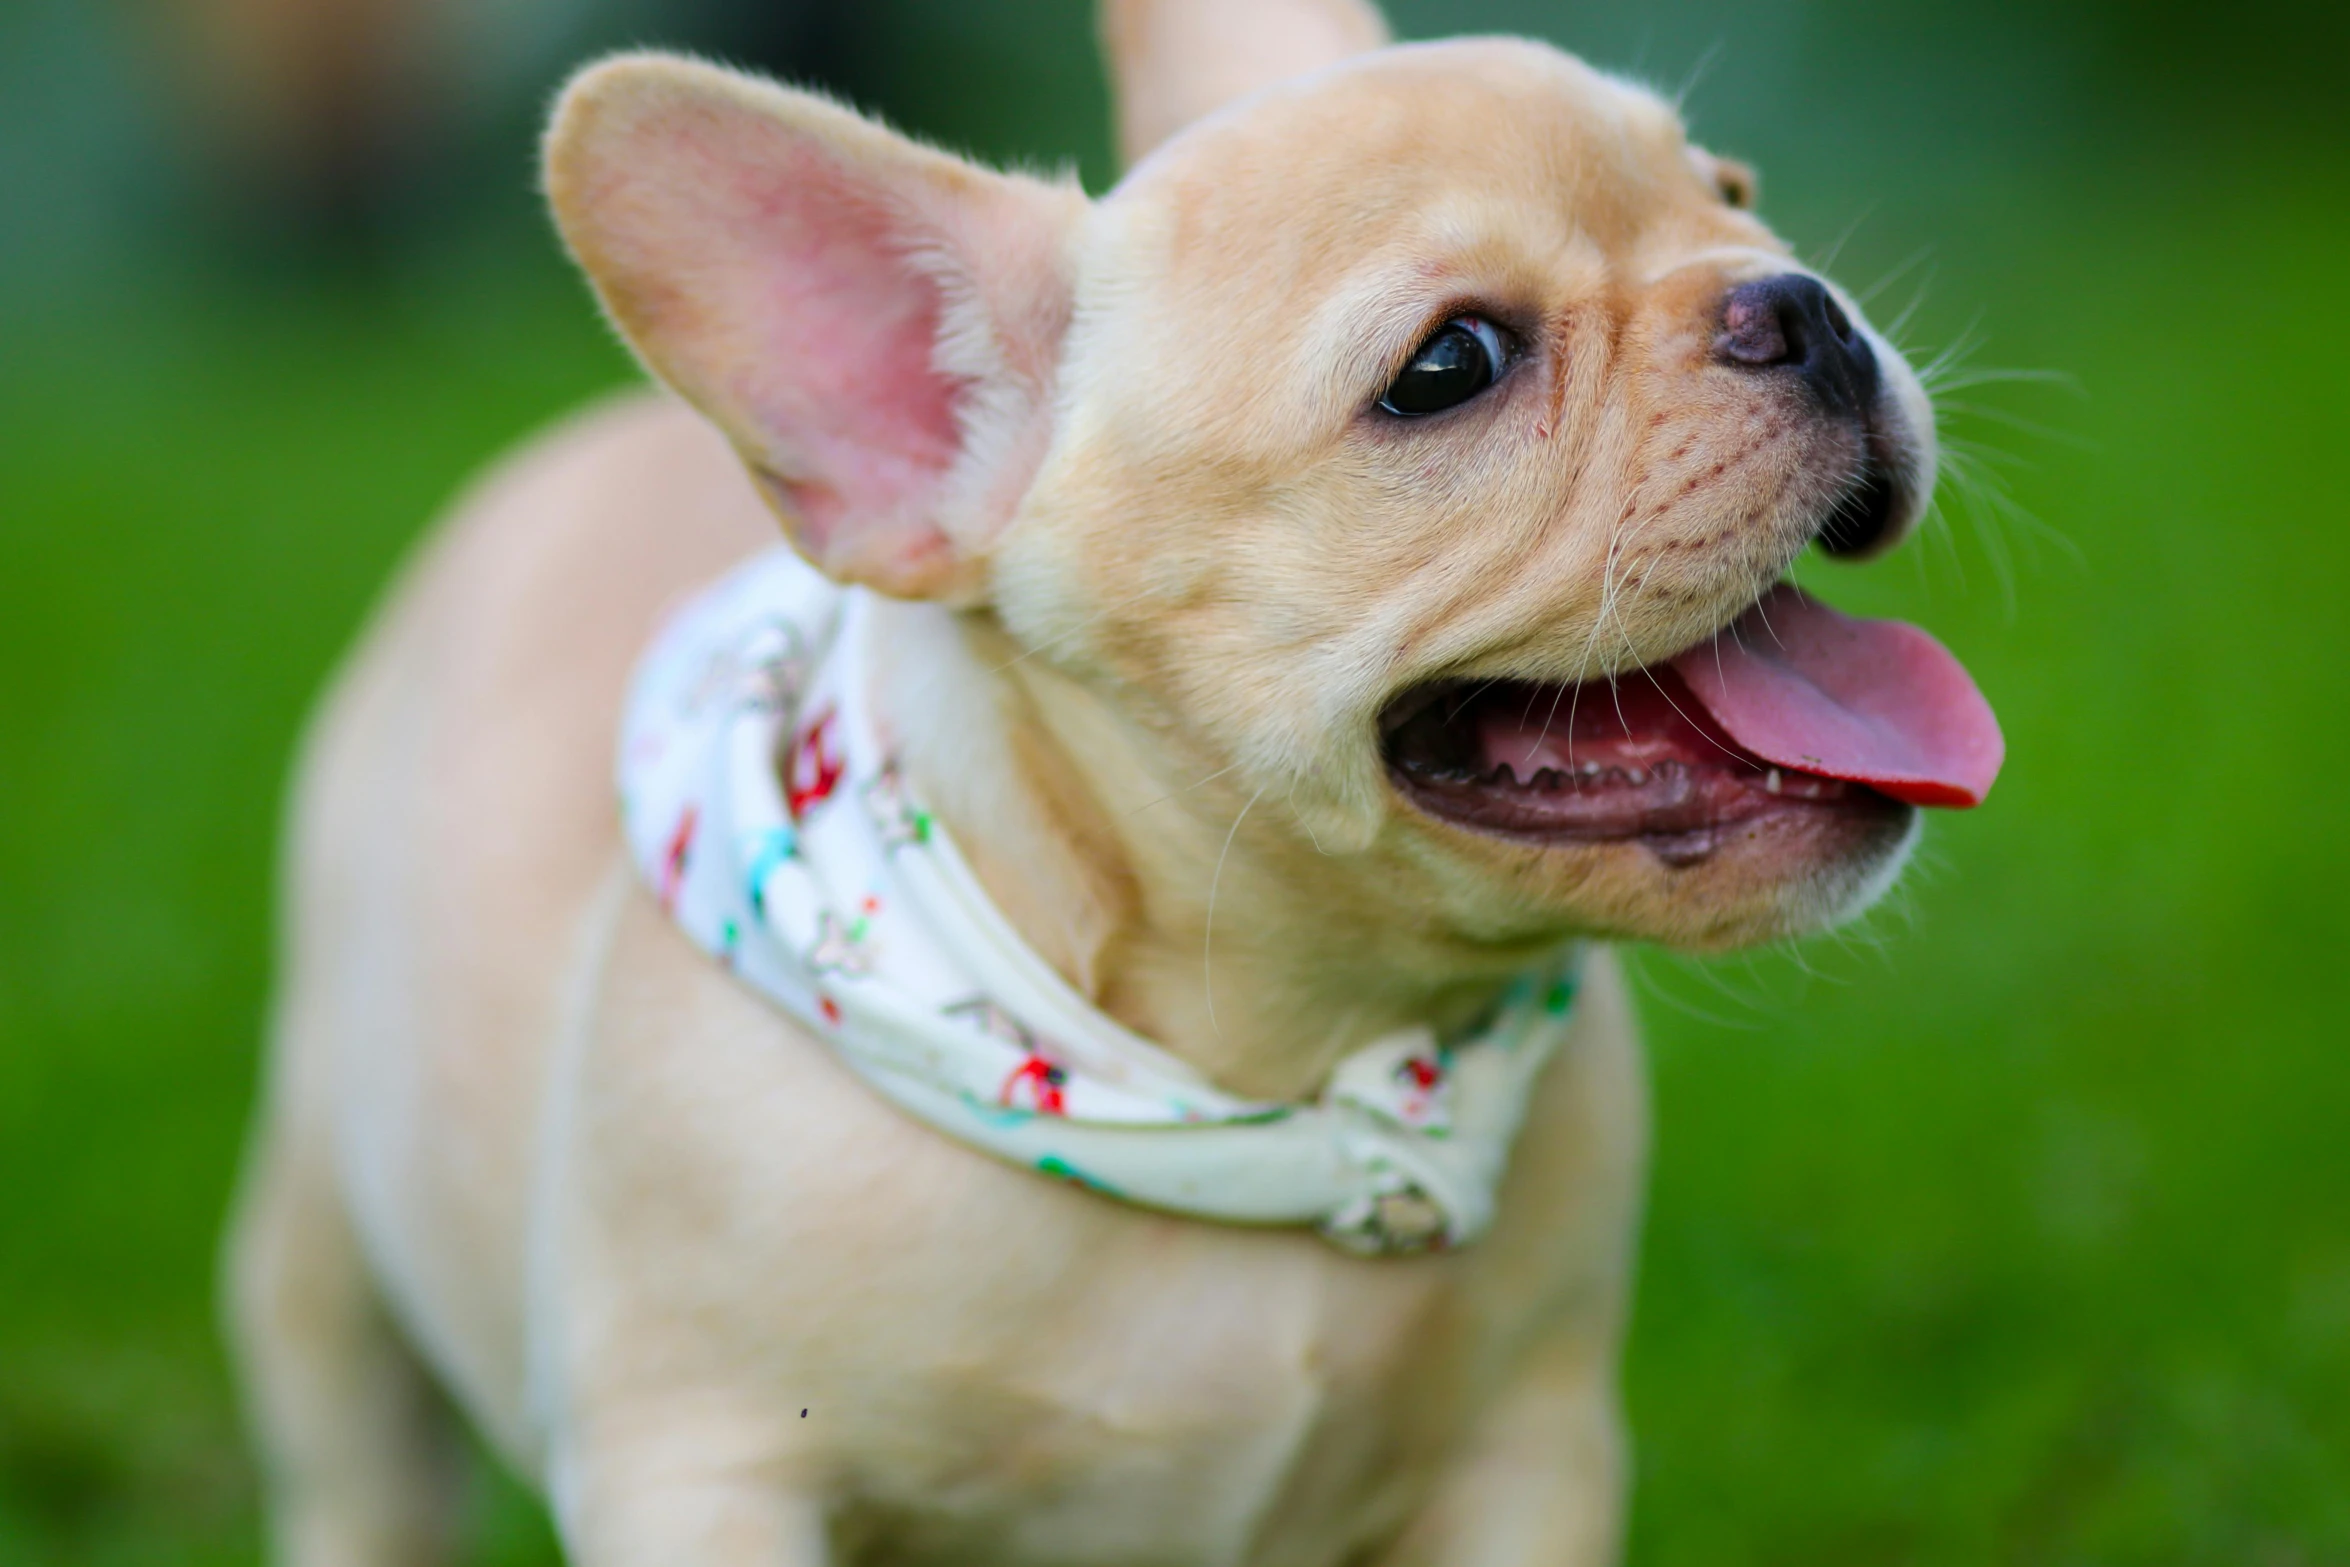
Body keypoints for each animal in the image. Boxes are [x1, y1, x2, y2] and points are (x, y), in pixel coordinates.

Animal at [224, 3, 2002, 1567]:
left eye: (1733, 193)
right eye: (1450, 365)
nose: (1799, 303)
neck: (1266, 1066)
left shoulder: (1527, 1449)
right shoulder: (704, 1469)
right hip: (326, 1246)